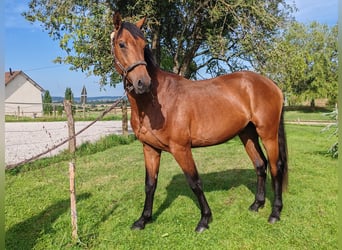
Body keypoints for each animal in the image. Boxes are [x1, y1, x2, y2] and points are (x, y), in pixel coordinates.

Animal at [111, 12, 288, 232]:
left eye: (144, 44)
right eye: (121, 44)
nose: (143, 83)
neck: (155, 101)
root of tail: (272, 84)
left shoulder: (181, 148)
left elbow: (194, 182)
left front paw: (205, 219)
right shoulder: (149, 149)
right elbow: (150, 184)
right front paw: (143, 219)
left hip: (268, 133)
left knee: (275, 166)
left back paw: (275, 212)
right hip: (247, 133)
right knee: (260, 165)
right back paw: (257, 204)